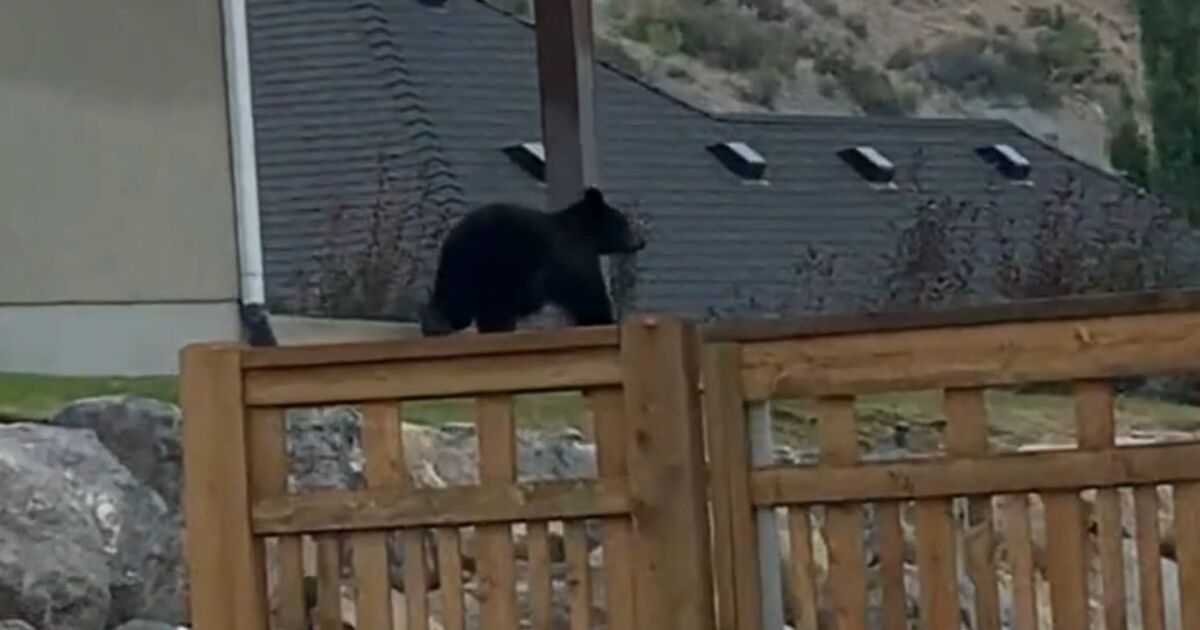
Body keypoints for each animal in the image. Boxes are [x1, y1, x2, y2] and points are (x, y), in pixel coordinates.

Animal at [418, 187, 646, 336]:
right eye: (625, 222)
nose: (641, 241)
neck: (586, 233)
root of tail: (451, 237)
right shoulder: (569, 255)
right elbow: (586, 290)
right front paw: (600, 318)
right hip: (484, 262)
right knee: (460, 301)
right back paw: (439, 323)